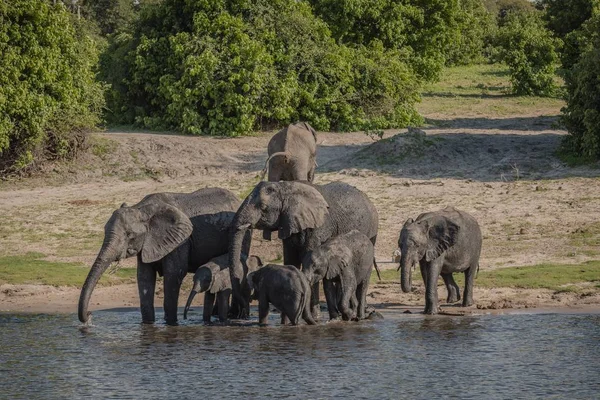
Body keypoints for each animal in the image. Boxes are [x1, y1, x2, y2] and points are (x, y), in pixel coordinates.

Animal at [77, 188, 246, 324]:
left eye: (129, 235)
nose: (90, 315)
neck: (141, 209)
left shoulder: (181, 241)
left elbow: (174, 274)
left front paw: (171, 323)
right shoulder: (147, 243)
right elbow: (144, 277)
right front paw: (148, 323)